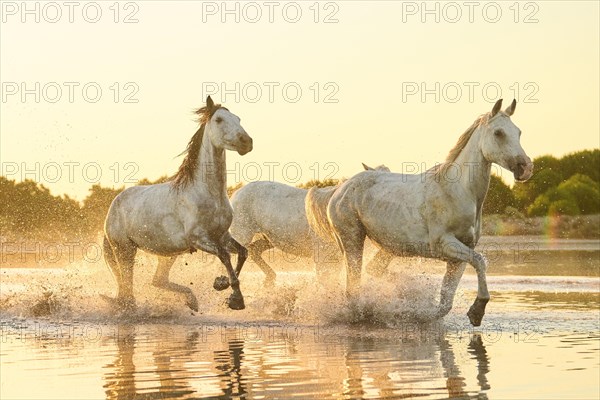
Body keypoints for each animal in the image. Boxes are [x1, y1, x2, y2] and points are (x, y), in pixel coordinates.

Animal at [103, 95, 253, 310]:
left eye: (238, 118)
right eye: (219, 120)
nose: (246, 142)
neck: (207, 192)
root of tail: (111, 208)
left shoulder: (222, 236)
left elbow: (242, 252)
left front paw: (222, 284)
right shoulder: (199, 239)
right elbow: (224, 255)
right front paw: (236, 299)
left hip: (167, 253)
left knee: (156, 281)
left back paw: (191, 301)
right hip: (125, 251)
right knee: (127, 291)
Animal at [230, 162, 390, 284]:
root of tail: (235, 194)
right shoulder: (323, 257)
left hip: (268, 239)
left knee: (253, 251)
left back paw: (269, 279)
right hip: (241, 234)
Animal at [326, 99, 532, 324]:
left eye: (519, 132)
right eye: (499, 133)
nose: (525, 168)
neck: (457, 191)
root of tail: (340, 190)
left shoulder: (458, 256)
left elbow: (445, 303)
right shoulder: (443, 244)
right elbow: (479, 261)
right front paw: (478, 309)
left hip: (385, 245)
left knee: (371, 272)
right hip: (353, 240)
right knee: (353, 286)